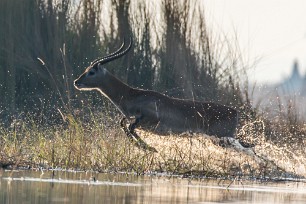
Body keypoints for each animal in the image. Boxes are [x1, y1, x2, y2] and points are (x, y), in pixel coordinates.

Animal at [73, 38, 239, 152]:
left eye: (91, 72)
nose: (76, 82)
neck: (133, 96)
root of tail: (235, 111)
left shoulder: (148, 119)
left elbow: (130, 127)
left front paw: (150, 148)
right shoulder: (133, 119)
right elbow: (124, 124)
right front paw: (148, 148)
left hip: (221, 138)